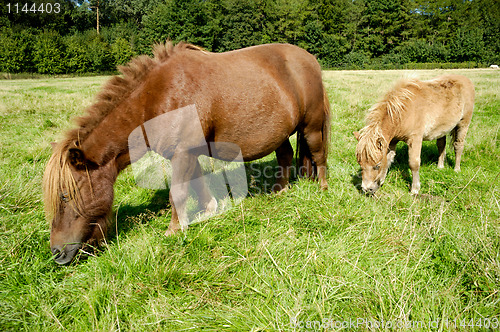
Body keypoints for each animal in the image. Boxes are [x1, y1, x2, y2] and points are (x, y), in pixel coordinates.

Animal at [43, 41, 330, 264]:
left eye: (65, 196)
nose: (56, 252)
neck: (156, 97)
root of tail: (309, 59)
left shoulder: (182, 153)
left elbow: (178, 193)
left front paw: (173, 230)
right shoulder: (188, 153)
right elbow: (198, 184)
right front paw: (208, 210)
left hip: (311, 126)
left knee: (318, 155)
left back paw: (323, 189)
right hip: (281, 133)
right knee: (285, 156)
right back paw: (280, 190)